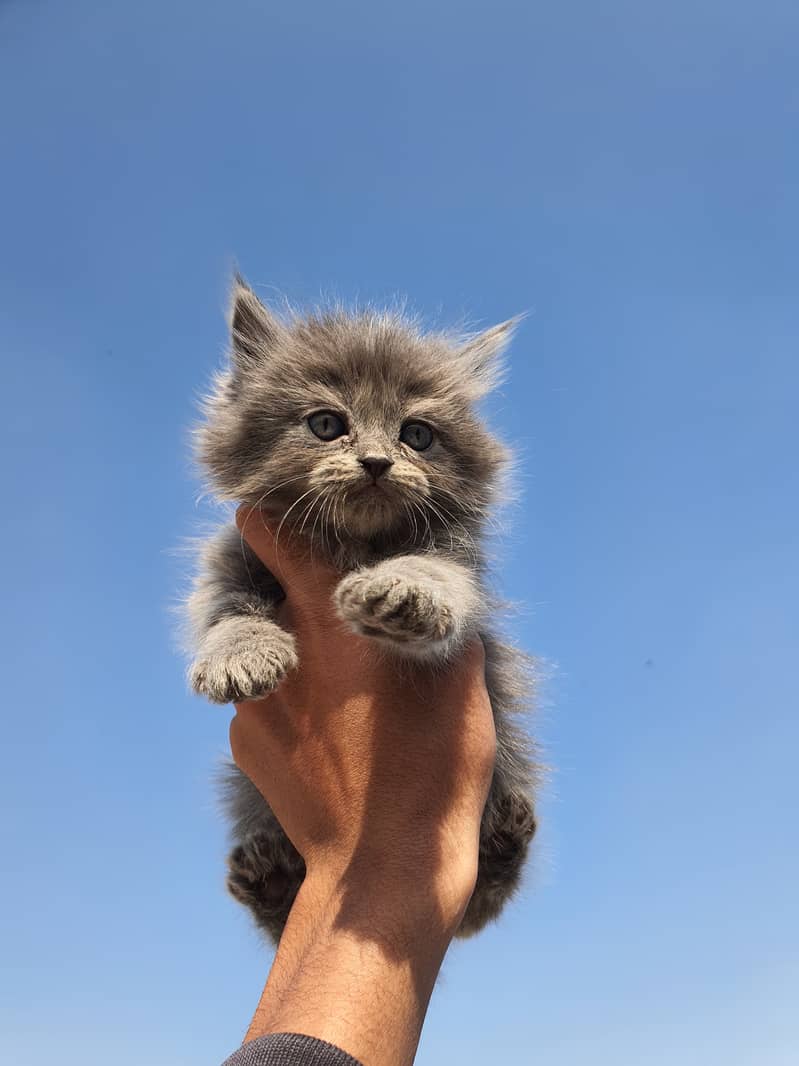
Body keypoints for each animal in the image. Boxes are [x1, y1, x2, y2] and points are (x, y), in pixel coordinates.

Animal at [187, 277, 539, 942]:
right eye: (327, 424)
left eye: (417, 434)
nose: (377, 462)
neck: (352, 545)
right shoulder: (231, 556)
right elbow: (225, 610)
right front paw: (240, 657)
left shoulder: (459, 566)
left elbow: (437, 578)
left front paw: (399, 592)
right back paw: (268, 878)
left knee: (479, 902)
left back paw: (503, 841)